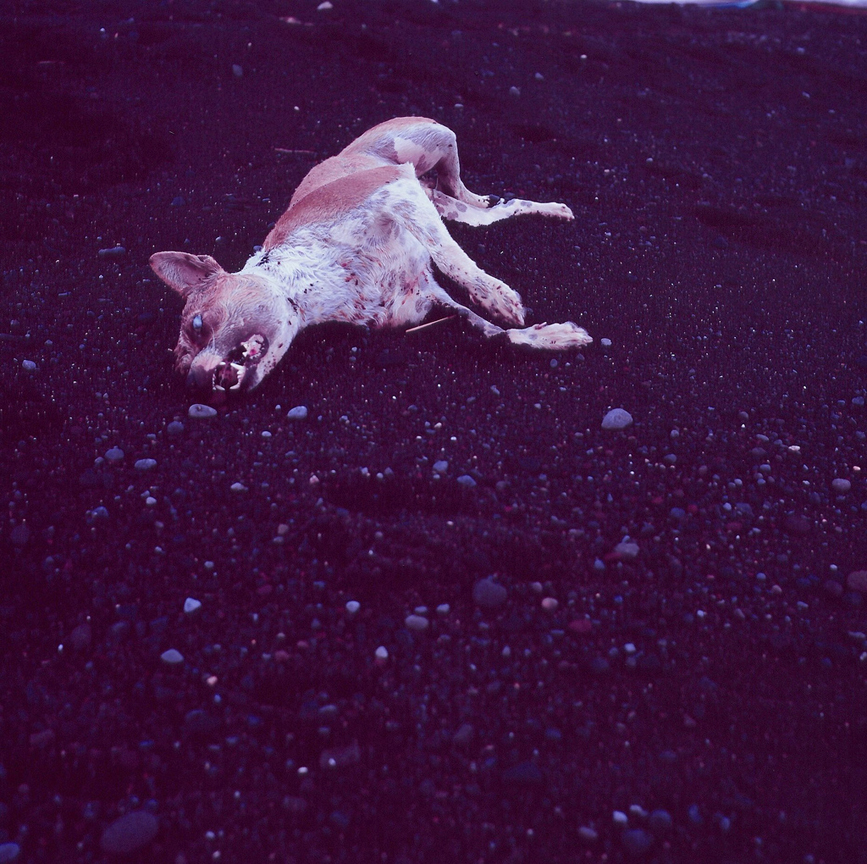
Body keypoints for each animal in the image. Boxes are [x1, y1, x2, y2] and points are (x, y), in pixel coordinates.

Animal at [150, 117, 591, 393]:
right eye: (180, 366)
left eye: (198, 324)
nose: (195, 383)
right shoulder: (431, 299)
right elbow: (494, 335)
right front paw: (552, 336)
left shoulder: (395, 190)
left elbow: (451, 258)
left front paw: (498, 298)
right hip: (448, 203)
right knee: (496, 208)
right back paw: (554, 210)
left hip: (431, 141)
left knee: (462, 190)